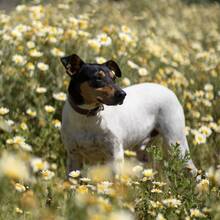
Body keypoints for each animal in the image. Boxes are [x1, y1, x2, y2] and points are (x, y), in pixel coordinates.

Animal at [60, 54, 198, 176]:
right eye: (98, 78)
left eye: (114, 78)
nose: (122, 94)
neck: (87, 118)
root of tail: (168, 90)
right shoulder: (74, 157)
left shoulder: (115, 155)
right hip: (141, 149)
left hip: (175, 141)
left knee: (193, 171)